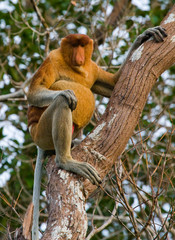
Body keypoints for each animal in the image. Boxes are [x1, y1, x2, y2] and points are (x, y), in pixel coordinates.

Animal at [27, 26, 167, 240]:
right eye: (74, 45)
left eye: (82, 45)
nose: (79, 56)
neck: (74, 66)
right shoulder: (52, 59)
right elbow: (34, 92)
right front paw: (66, 92)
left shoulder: (91, 67)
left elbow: (113, 84)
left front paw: (144, 36)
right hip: (40, 132)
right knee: (60, 104)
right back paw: (66, 160)